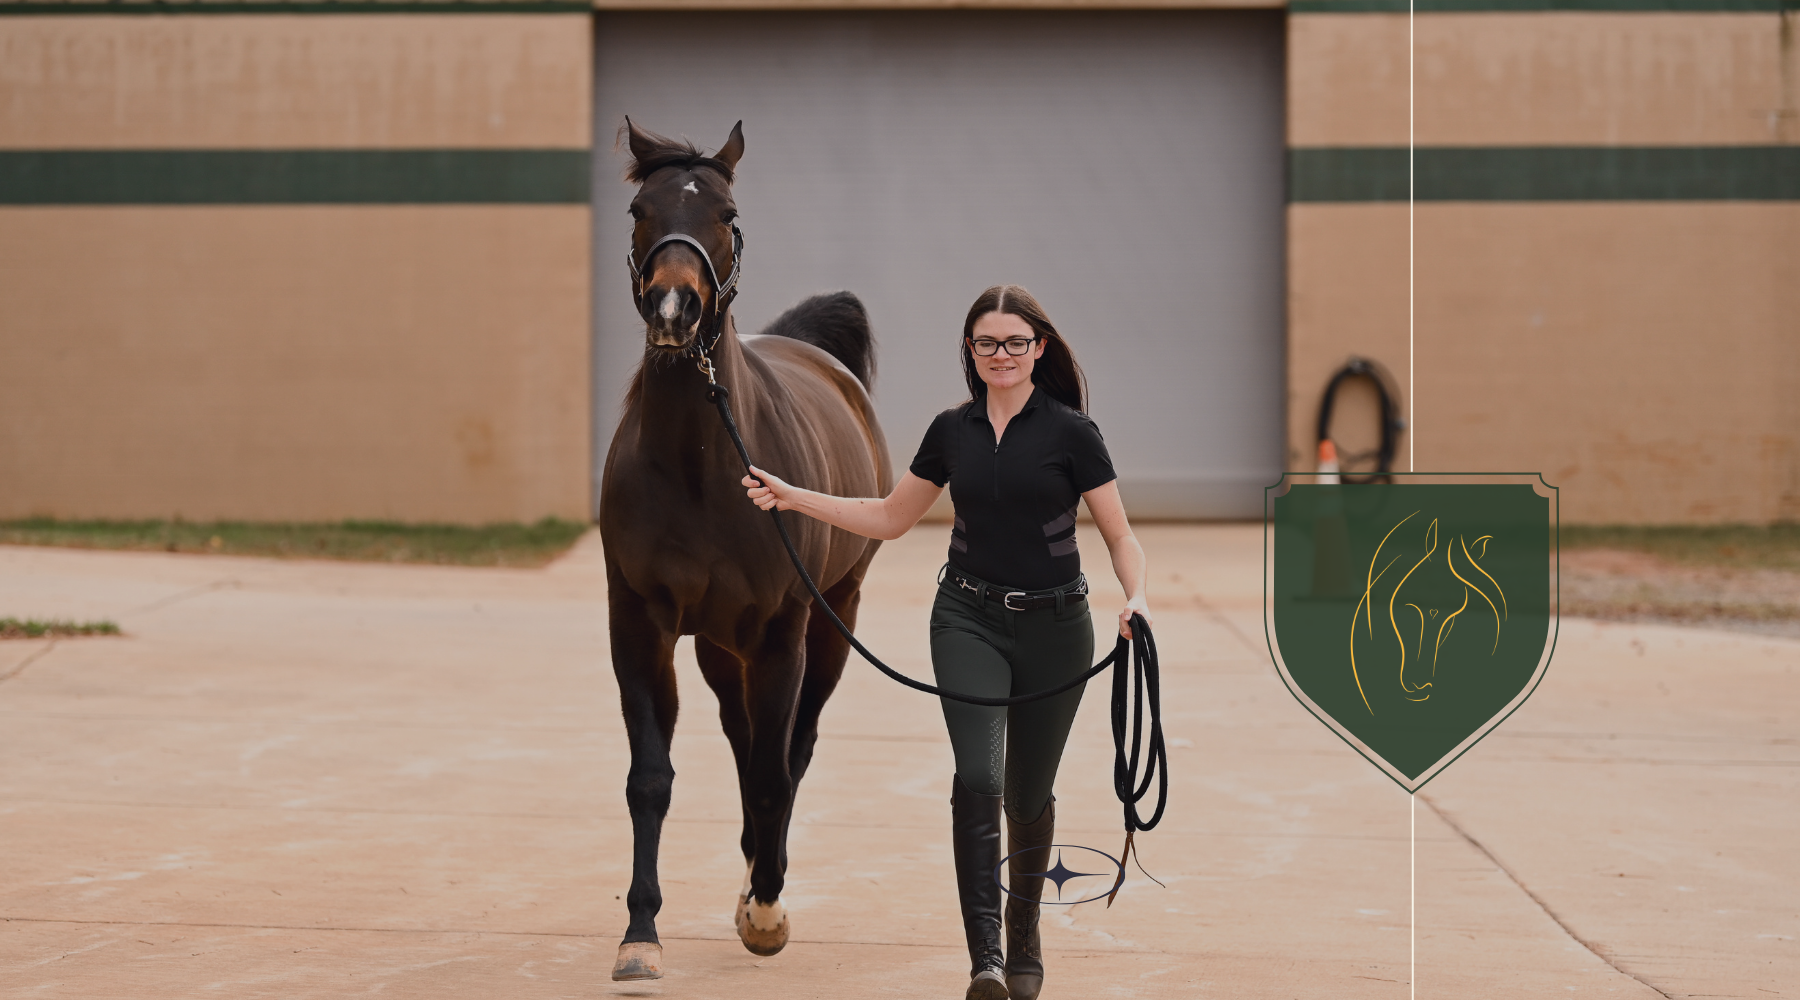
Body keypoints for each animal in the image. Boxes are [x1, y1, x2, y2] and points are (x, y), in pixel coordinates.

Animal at [599, 118, 892, 982]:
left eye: (727, 215)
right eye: (640, 209)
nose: (674, 307)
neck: (704, 464)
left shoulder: (781, 634)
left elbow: (772, 775)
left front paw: (766, 911)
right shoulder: (641, 626)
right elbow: (650, 779)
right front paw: (640, 937)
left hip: (829, 623)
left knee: (792, 748)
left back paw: (767, 878)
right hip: (718, 648)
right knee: (741, 738)